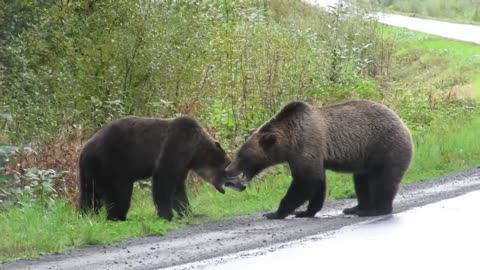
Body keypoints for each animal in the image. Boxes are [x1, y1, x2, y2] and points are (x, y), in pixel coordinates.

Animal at [79, 115, 246, 220]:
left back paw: (86, 215)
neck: (194, 153)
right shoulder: (174, 149)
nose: (243, 185)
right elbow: (164, 183)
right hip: (113, 165)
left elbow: (179, 189)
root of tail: (84, 150)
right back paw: (118, 217)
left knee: (89, 196)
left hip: (91, 172)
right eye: (231, 171)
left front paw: (190, 213)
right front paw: (166, 214)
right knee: (120, 193)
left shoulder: (183, 164)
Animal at [227, 99, 414, 219]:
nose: (228, 169)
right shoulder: (304, 156)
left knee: (383, 181)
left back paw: (375, 210)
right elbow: (317, 182)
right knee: (361, 181)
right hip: (366, 159)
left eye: (242, 156)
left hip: (385, 148)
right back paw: (355, 208)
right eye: (237, 154)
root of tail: (405, 126)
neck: (288, 142)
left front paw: (275, 213)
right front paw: (305, 212)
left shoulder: (307, 145)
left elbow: (306, 180)